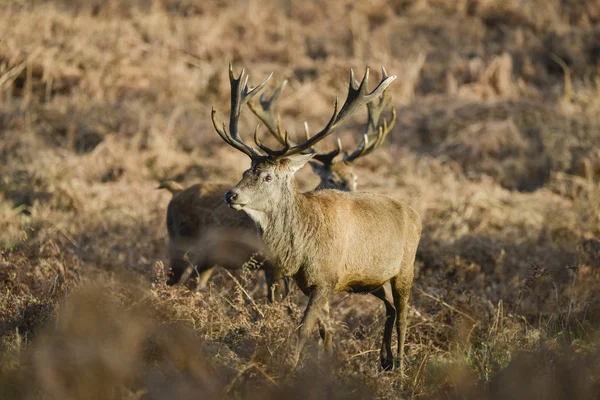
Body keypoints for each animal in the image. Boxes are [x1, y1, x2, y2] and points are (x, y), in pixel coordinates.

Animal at [161, 69, 394, 300]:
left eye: (355, 177)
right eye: (331, 179)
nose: (230, 195)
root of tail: (175, 192)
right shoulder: (270, 265)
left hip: (206, 260)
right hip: (179, 244)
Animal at [216, 65, 422, 376]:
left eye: (268, 176)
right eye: (245, 171)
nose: (231, 194)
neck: (301, 248)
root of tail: (415, 214)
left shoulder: (326, 278)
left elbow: (304, 329)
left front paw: (289, 368)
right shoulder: (306, 282)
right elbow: (320, 328)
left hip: (405, 269)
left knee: (402, 315)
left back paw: (398, 366)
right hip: (373, 281)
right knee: (390, 309)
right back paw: (384, 361)